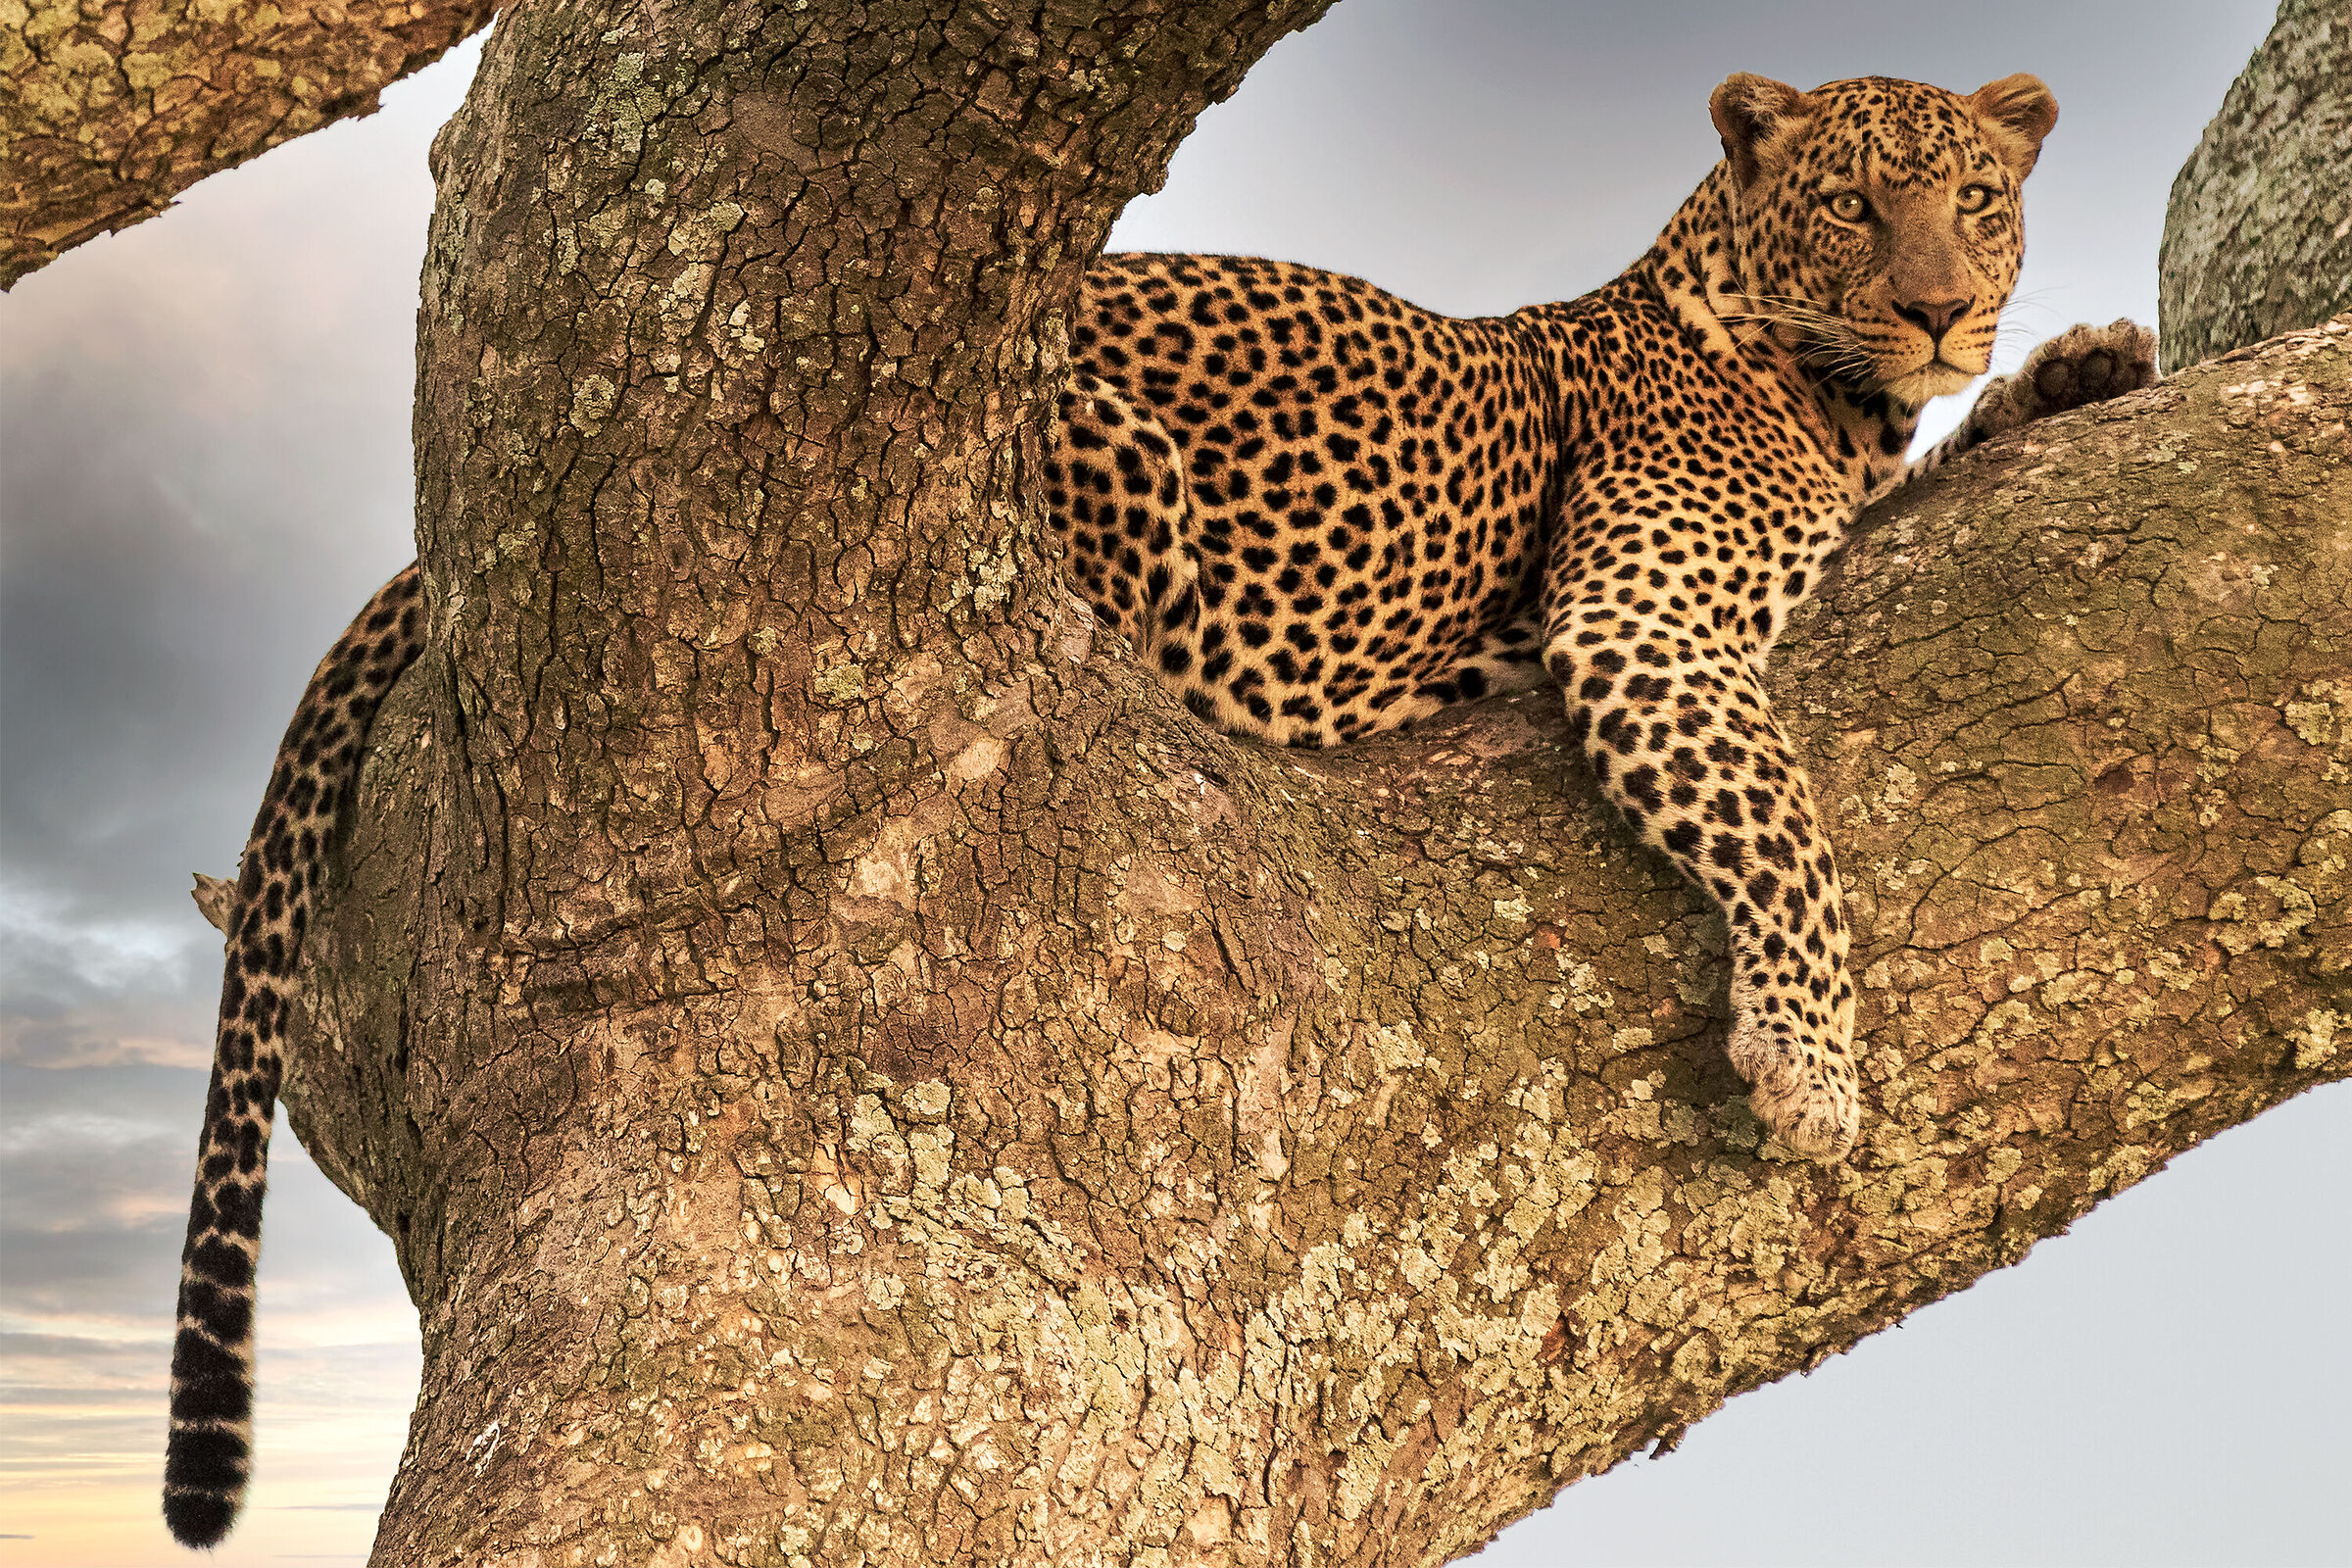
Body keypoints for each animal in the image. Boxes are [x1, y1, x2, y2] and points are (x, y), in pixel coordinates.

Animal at [162, 71, 2155, 1547]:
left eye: (1976, 200)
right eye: (1855, 206)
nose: (1943, 307)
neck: (1820, 392)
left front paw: (2076, 369)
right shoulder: (1644, 620)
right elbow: (1784, 825)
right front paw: (1813, 1064)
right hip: (1117, 474)